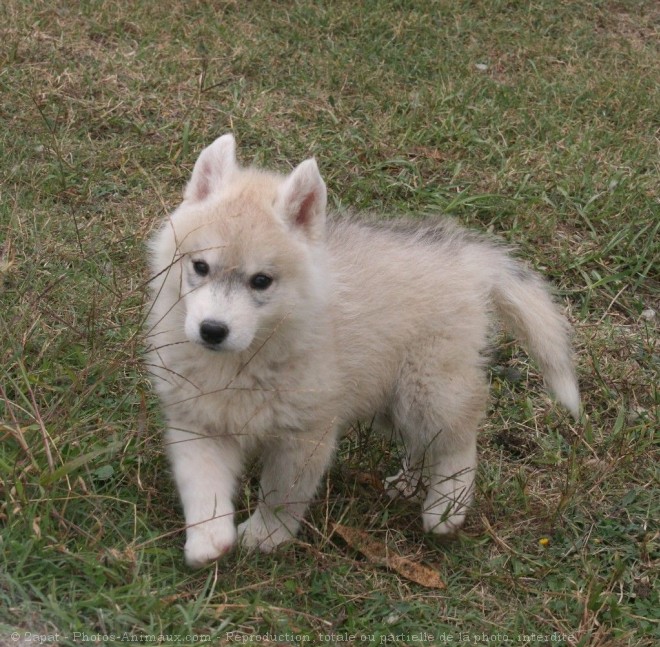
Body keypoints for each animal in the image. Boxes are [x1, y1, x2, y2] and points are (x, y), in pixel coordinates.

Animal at [144, 135, 576, 568]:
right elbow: (203, 484)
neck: (242, 360)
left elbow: (282, 496)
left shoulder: (305, 437)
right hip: (390, 398)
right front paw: (208, 539)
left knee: (458, 437)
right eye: (200, 267)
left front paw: (266, 535)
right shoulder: (197, 422)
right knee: (422, 442)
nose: (212, 331)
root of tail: (468, 260)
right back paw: (410, 483)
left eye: (261, 281)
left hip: (427, 386)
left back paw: (446, 506)